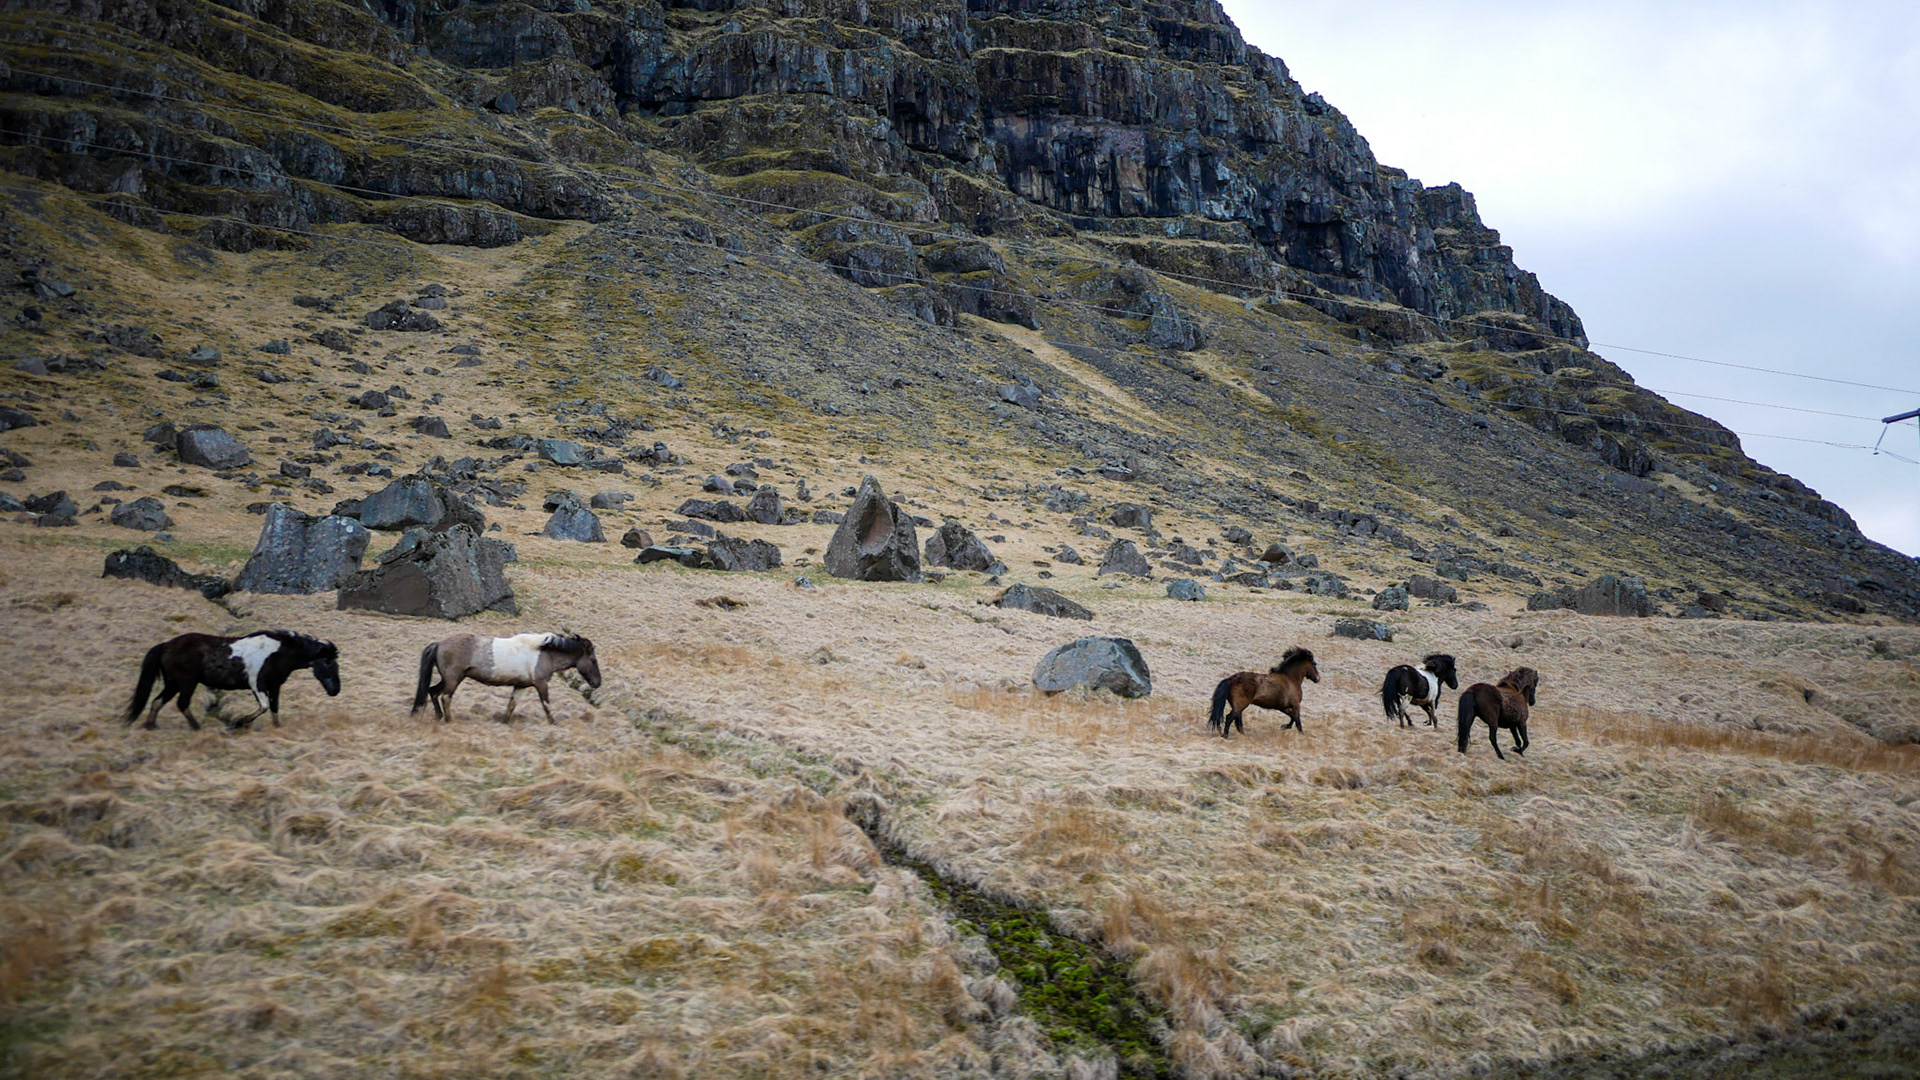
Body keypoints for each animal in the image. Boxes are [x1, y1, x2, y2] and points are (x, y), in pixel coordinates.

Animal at [123, 631, 340, 731]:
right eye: (328, 662)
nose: (335, 690)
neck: (277, 653)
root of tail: (167, 645)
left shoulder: (275, 686)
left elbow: (274, 708)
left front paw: (277, 729)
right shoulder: (257, 684)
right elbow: (264, 706)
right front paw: (240, 722)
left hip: (173, 683)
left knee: (157, 701)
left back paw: (151, 726)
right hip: (186, 683)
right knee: (181, 703)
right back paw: (197, 728)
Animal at [412, 631, 601, 724]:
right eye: (593, 660)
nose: (597, 683)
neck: (544, 653)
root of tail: (439, 643)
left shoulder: (520, 686)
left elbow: (511, 705)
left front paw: (504, 723)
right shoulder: (541, 684)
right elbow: (546, 705)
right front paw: (553, 723)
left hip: (448, 679)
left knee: (433, 692)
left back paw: (438, 716)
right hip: (453, 679)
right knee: (445, 697)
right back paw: (449, 720)